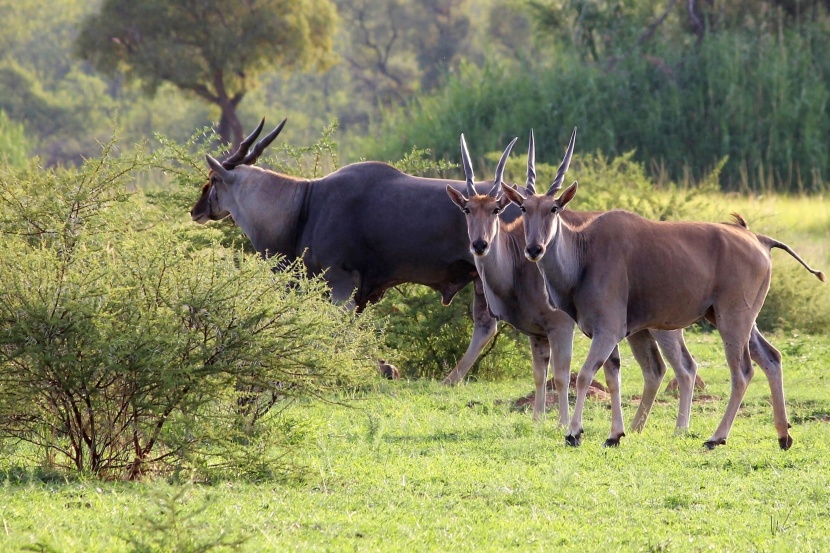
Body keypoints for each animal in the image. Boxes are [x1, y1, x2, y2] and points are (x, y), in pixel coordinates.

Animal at [500, 127, 824, 446]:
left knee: (742, 371)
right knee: (772, 358)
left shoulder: (608, 330)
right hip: (738, 319)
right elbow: (613, 376)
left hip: (733, 318)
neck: (584, 253)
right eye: (523, 208)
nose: (534, 249)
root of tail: (759, 239)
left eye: (554, 208)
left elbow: (584, 375)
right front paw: (615, 435)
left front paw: (574, 432)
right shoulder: (611, 334)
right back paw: (783, 435)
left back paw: (716, 437)